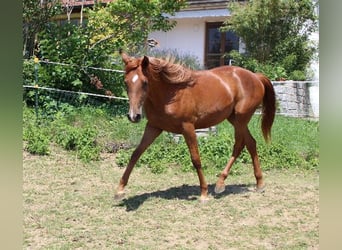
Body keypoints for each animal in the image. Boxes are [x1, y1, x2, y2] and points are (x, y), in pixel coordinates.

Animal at [115, 51, 276, 201]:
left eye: (144, 82)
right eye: (125, 82)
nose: (133, 116)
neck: (170, 94)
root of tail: (256, 76)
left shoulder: (188, 128)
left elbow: (196, 159)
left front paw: (204, 193)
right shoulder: (154, 127)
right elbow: (136, 154)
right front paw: (120, 190)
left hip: (241, 119)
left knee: (239, 145)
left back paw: (221, 184)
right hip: (235, 119)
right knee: (250, 143)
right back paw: (258, 183)